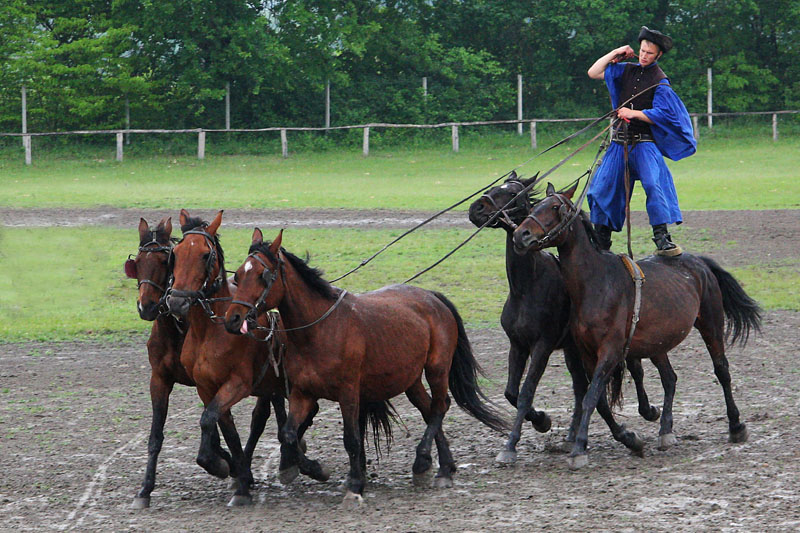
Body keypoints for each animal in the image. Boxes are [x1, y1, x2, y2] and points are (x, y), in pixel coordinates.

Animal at [126, 216, 262, 508]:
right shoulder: (160, 380)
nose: (147, 307)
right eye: (138, 262)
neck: (177, 328)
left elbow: (216, 425)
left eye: (163, 261)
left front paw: (226, 464)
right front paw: (145, 489)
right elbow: (156, 435)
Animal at [164, 210, 326, 504]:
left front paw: (222, 467)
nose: (177, 302)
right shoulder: (207, 388)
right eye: (176, 253)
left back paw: (292, 462)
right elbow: (224, 428)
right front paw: (238, 477)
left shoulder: (237, 384)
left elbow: (209, 419)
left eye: (205, 254)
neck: (211, 331)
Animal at [222, 229, 510, 502]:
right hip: (410, 379)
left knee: (440, 406)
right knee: (429, 409)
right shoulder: (302, 393)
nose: (233, 318)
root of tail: (432, 297)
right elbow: (288, 434)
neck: (319, 329)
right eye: (238, 275)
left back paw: (423, 461)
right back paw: (445, 466)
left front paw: (355, 484)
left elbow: (351, 439)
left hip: (437, 368)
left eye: (263, 275)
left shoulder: (348, 392)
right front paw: (314, 469)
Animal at [466, 171, 660, 462]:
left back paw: (648, 412)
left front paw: (513, 443)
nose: (476, 209)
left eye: (511, 193)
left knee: (635, 371)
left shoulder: (543, 346)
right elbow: (512, 393)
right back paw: (572, 436)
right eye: (495, 187)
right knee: (581, 387)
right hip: (573, 351)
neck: (527, 286)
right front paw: (540, 421)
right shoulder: (518, 345)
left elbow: (526, 392)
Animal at [512, 182, 764, 466]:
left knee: (721, 370)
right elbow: (598, 401)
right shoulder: (587, 354)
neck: (596, 283)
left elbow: (591, 397)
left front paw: (579, 449)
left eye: (555, 207)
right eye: (534, 207)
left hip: (711, 324)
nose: (521, 234)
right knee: (670, 378)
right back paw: (665, 431)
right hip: (658, 342)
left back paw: (736, 425)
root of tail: (699, 262)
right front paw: (629, 438)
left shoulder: (610, 352)